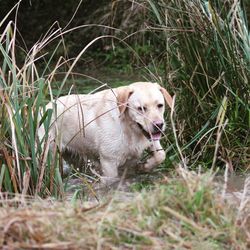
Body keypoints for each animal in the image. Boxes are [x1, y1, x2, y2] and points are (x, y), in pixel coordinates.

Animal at [39, 82, 172, 184]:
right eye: (141, 108)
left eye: (160, 105)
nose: (159, 125)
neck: (128, 126)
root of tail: (41, 109)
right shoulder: (109, 162)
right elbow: (112, 179)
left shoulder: (149, 140)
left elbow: (161, 155)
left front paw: (144, 167)